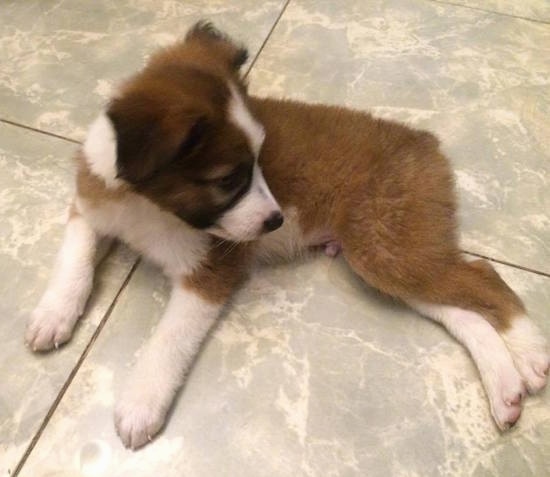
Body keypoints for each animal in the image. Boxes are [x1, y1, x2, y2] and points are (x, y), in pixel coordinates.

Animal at [28, 22, 550, 446]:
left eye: (259, 162)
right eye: (228, 179)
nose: (276, 221)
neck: (148, 207)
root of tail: (424, 140)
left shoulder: (211, 271)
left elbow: (169, 338)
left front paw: (141, 402)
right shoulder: (89, 209)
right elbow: (74, 258)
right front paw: (53, 314)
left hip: (385, 249)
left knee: (484, 278)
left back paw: (531, 353)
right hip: (389, 256)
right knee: (464, 309)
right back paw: (506, 388)